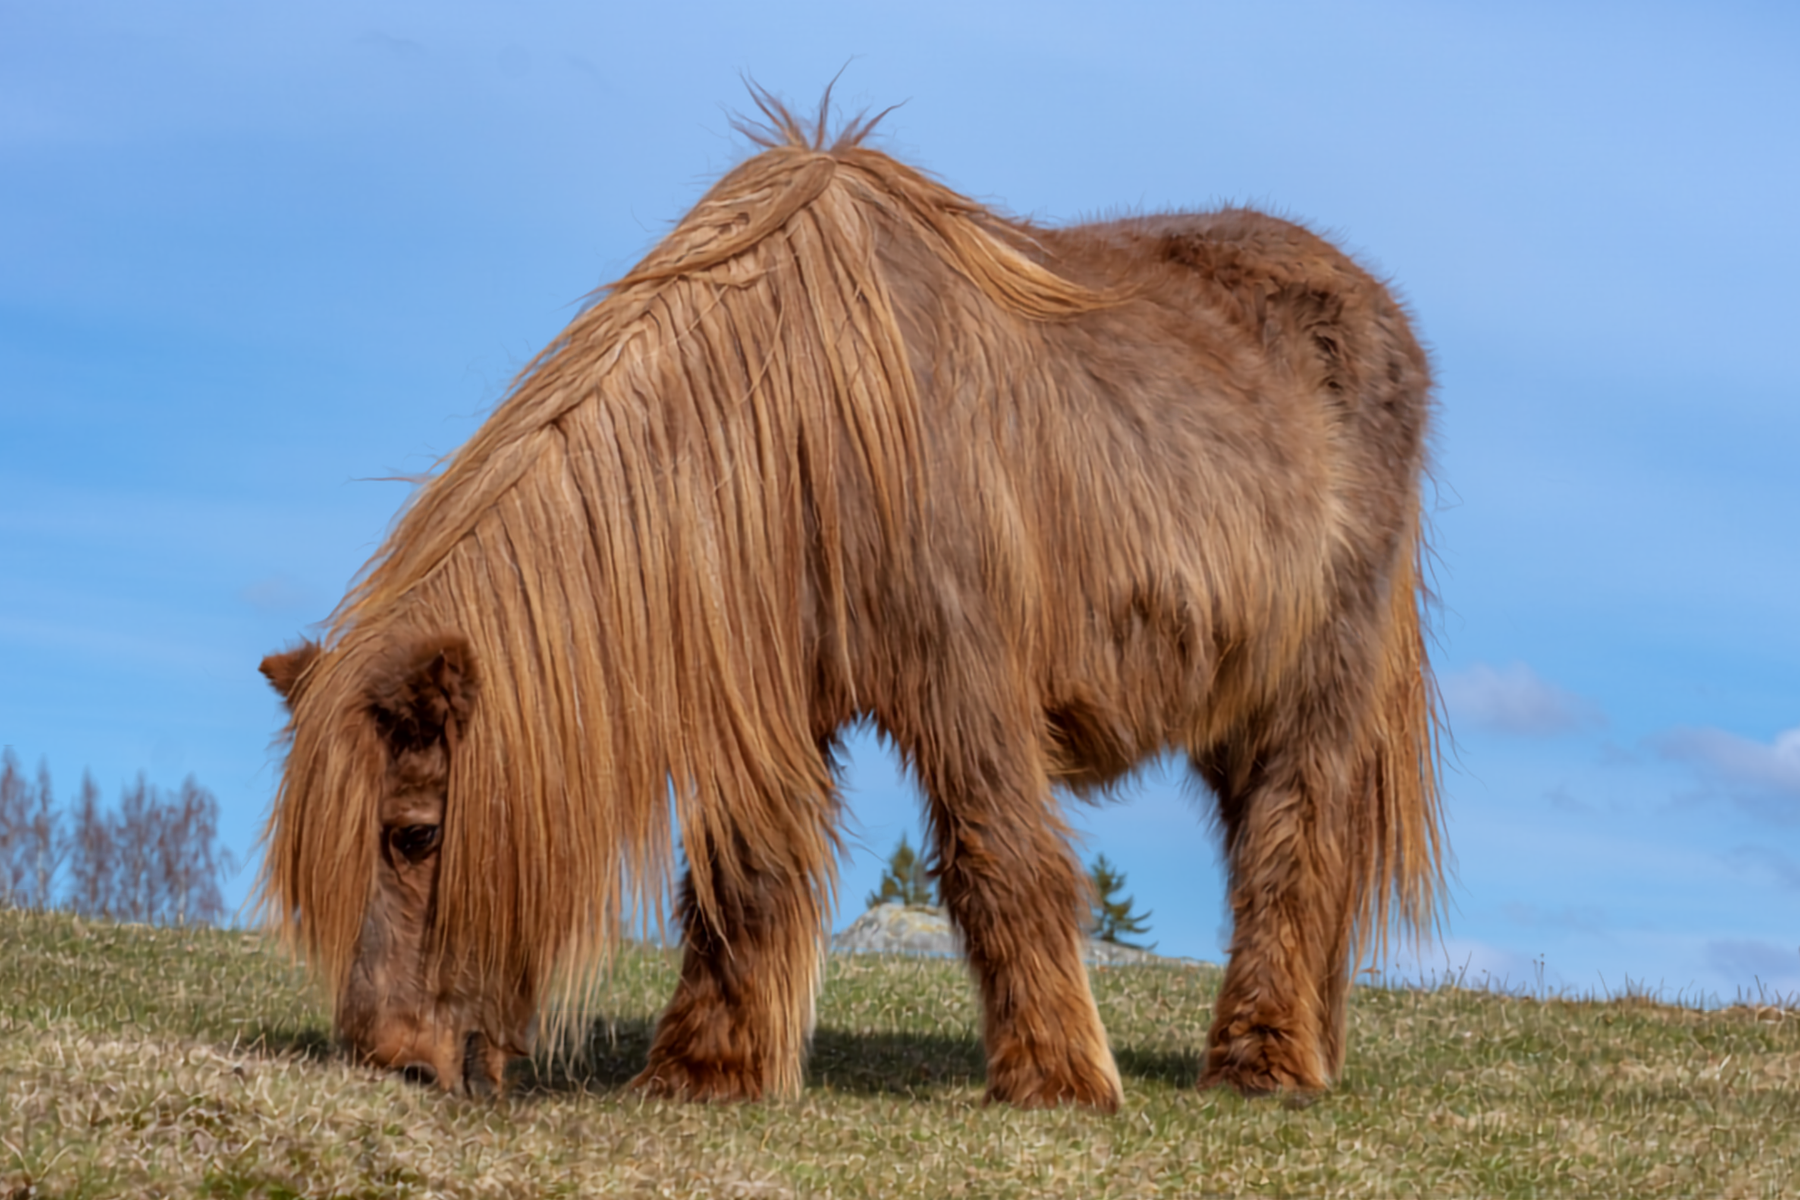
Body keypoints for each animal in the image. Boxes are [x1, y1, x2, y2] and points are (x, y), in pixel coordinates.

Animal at [258, 100, 1444, 1110]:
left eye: (414, 835)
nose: (388, 1061)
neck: (793, 426)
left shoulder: (961, 677)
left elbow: (1001, 860)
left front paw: (1058, 1081)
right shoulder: (774, 698)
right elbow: (742, 876)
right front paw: (707, 1073)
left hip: (1318, 685)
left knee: (1295, 847)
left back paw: (1262, 1063)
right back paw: (1307, 1050)